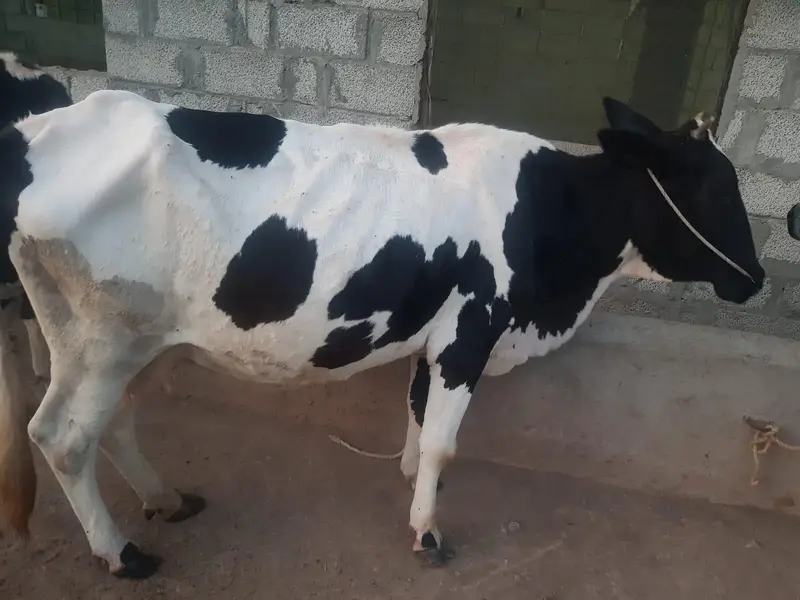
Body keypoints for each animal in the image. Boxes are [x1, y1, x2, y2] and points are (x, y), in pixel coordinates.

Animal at [0, 89, 764, 579]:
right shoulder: (471, 329)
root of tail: (36, 131)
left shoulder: (436, 335)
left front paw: (410, 483)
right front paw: (428, 533)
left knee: (115, 424)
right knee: (61, 438)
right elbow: (445, 440)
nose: (755, 278)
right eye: (715, 190)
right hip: (102, 340)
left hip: (134, 341)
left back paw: (165, 501)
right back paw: (122, 554)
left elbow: (419, 419)